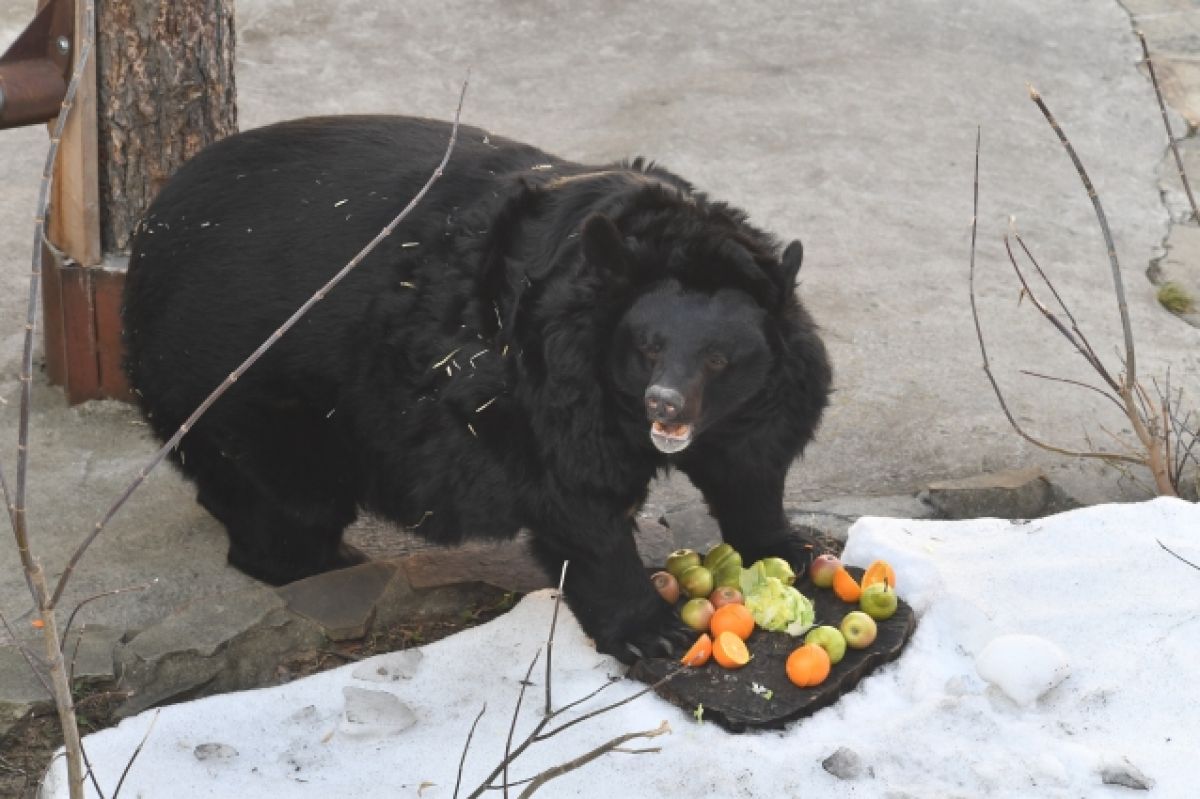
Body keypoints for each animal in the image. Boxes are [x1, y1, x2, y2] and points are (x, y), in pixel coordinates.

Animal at [124, 112, 835, 657]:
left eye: (717, 359)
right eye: (648, 347)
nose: (664, 403)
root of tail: (152, 231)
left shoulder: (761, 393)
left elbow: (750, 465)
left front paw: (787, 548)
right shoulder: (550, 387)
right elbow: (579, 500)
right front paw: (649, 630)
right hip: (246, 387)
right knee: (287, 501)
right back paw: (329, 562)